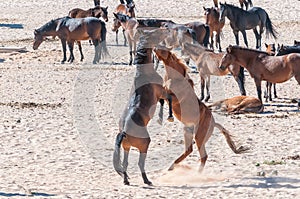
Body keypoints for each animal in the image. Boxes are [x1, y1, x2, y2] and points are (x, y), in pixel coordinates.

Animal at [112, 27, 173, 185]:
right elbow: (169, 98)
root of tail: (124, 132)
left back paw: (126, 180)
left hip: (126, 148)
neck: (145, 72)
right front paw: (168, 117)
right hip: (144, 145)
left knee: (124, 163)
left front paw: (161, 118)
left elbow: (163, 102)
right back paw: (147, 180)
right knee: (140, 163)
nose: (166, 28)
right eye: (155, 33)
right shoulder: (162, 91)